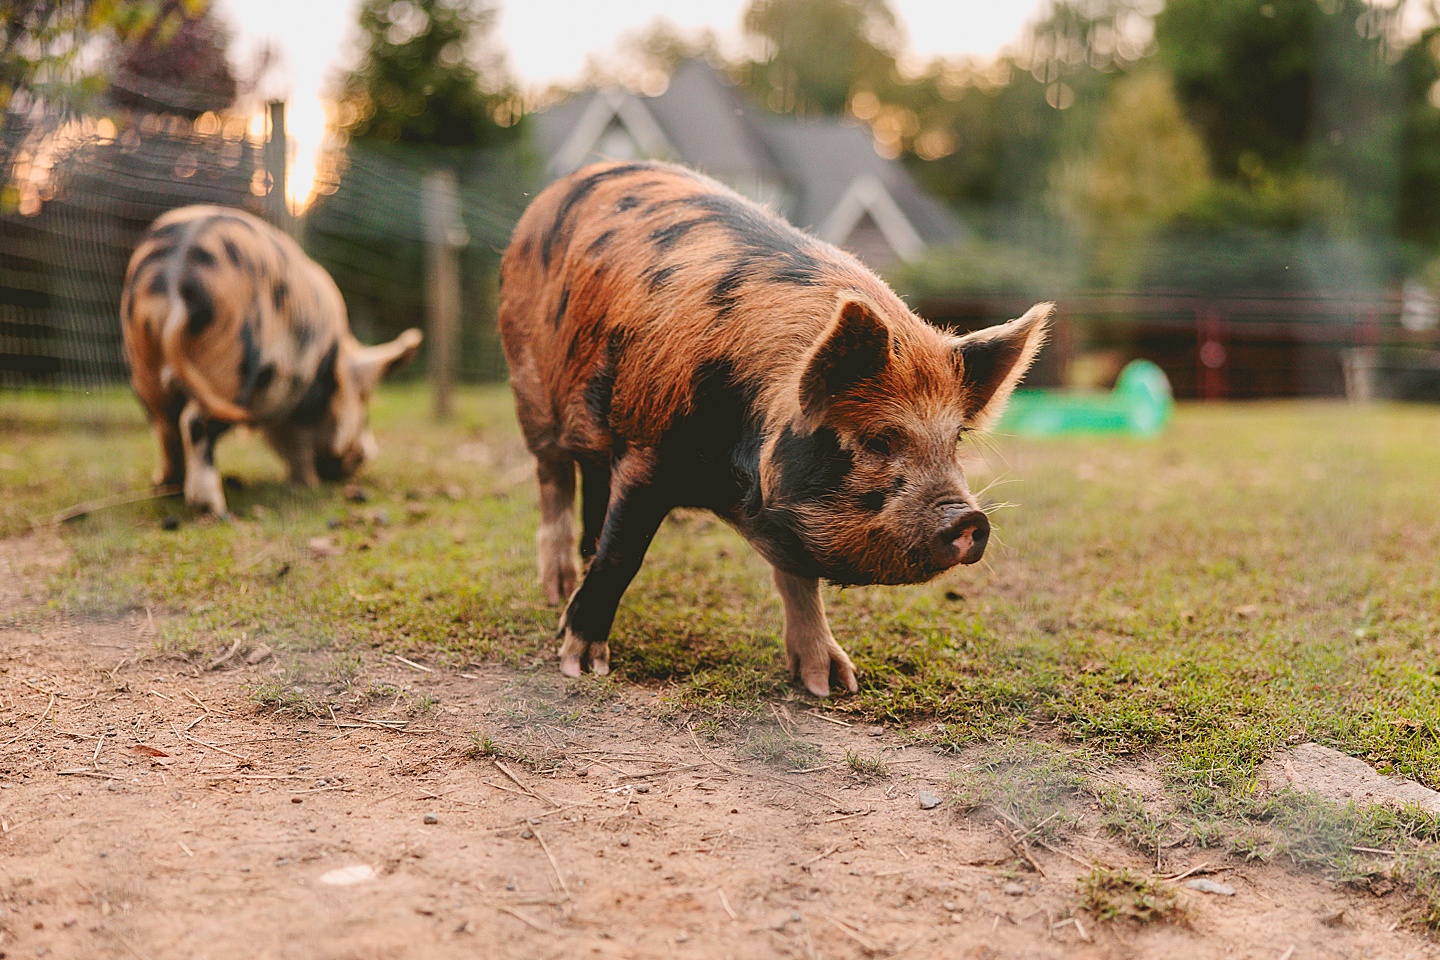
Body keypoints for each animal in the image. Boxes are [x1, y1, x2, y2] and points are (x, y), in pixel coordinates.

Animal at [122, 204, 420, 518]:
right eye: (364, 410)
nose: (367, 456)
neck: (335, 361)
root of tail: (176, 272)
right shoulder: (304, 397)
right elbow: (299, 441)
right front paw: (307, 484)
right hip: (229, 366)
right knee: (194, 421)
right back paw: (213, 509)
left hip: (143, 366)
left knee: (164, 424)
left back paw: (167, 488)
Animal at [495, 161, 1048, 693]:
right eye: (878, 438)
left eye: (956, 439)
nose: (969, 517)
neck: (726, 482)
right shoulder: (647, 449)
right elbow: (622, 554)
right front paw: (581, 664)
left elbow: (799, 577)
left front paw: (832, 685)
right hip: (528, 387)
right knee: (553, 476)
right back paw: (557, 590)